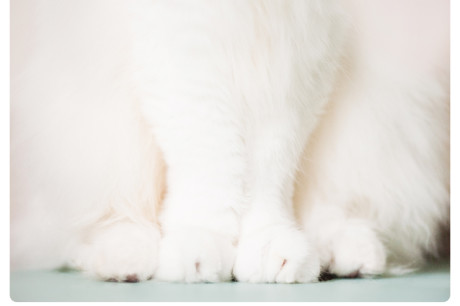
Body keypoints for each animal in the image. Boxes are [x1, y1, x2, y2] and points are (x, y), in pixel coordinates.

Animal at [10, 0, 450, 284]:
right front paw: (200, 251)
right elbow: (212, 160)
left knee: (336, 209)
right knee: (93, 225)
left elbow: (268, 174)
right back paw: (125, 260)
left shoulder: (299, 67)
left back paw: (344, 253)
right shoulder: (183, 53)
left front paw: (274, 250)